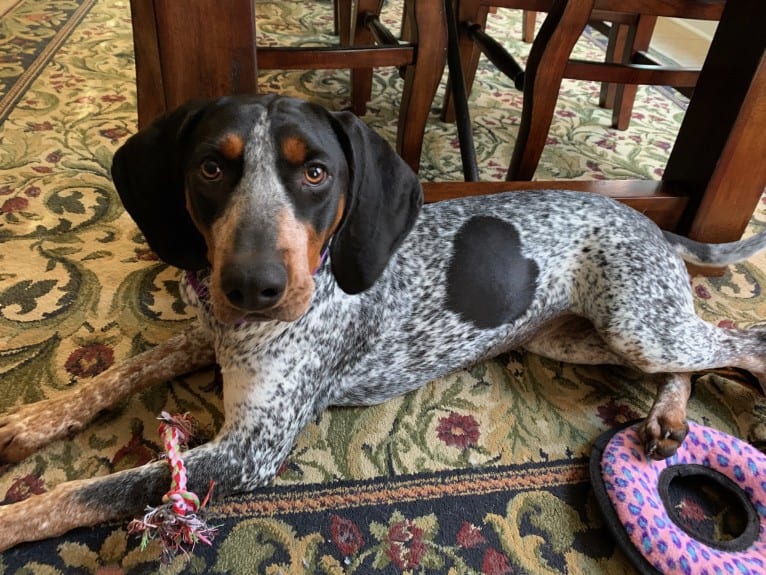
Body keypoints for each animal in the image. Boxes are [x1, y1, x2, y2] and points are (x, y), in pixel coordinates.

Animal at [1, 95, 766, 552]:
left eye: (315, 173)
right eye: (212, 168)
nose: (254, 288)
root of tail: (649, 222)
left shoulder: (251, 448)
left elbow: (104, 486)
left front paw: (11, 518)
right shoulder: (204, 333)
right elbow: (127, 369)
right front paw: (34, 420)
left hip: (640, 324)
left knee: (740, 341)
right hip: (580, 338)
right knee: (694, 362)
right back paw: (668, 416)